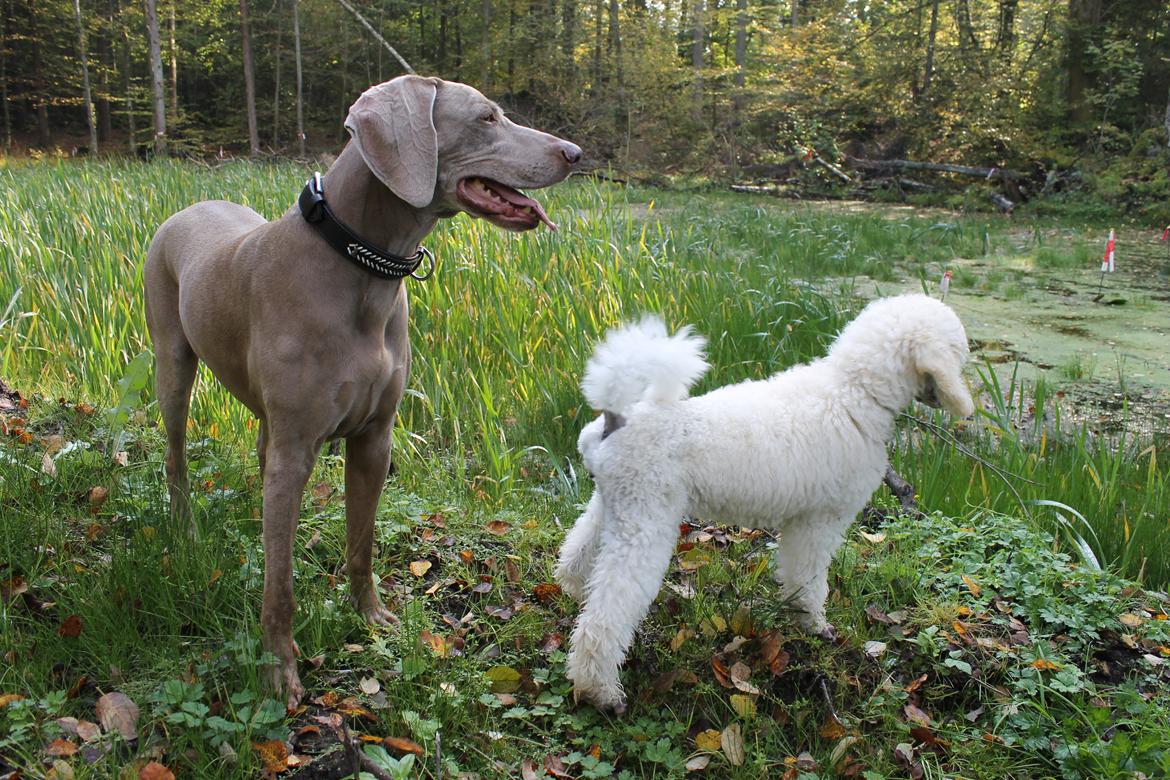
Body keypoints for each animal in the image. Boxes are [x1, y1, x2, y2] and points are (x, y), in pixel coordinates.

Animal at [146, 74, 580, 706]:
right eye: (486, 117)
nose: (574, 153)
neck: (361, 267)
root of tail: (189, 206)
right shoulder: (299, 450)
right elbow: (280, 585)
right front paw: (280, 671)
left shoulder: (376, 438)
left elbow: (362, 540)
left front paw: (370, 617)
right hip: (172, 362)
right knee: (177, 453)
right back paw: (184, 525)